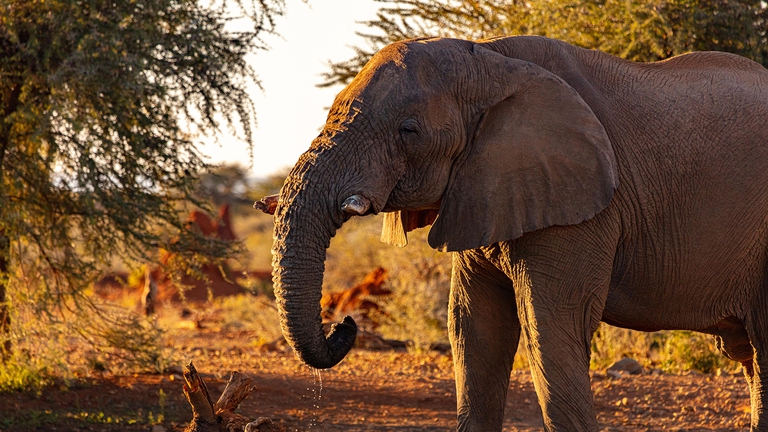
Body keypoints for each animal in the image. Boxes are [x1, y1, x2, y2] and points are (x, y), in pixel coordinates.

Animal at [262, 35, 768, 431]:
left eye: (409, 130)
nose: (344, 323)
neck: (489, 60)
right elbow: (474, 328)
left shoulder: (579, 206)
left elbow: (551, 327)